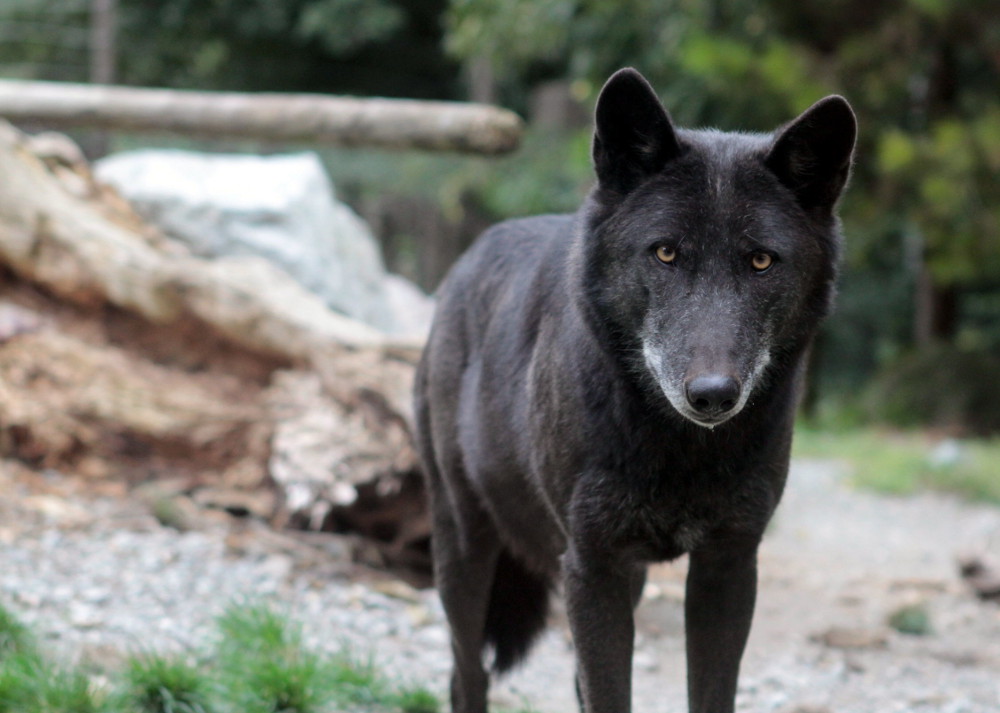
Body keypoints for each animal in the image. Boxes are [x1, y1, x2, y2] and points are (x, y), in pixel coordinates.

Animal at [410, 68, 856, 712]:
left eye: (761, 261)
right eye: (665, 252)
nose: (712, 394)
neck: (681, 454)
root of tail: (465, 262)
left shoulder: (728, 566)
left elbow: (708, 694)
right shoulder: (592, 567)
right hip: (465, 548)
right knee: (466, 675)